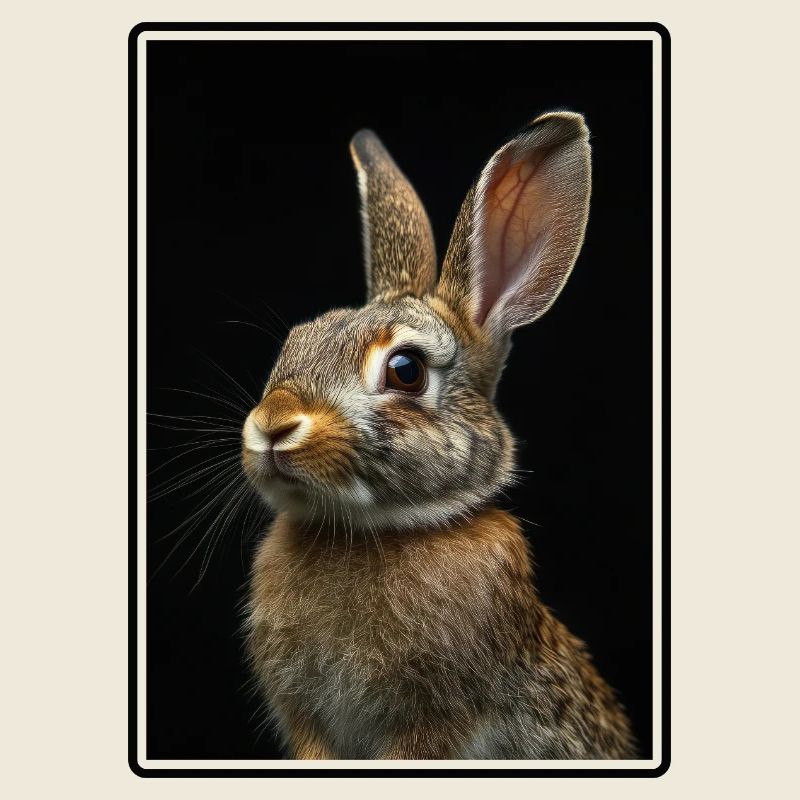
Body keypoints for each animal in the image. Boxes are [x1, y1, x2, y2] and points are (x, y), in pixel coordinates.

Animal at [242, 112, 637, 760]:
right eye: (295, 342)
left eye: (406, 370)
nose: (273, 426)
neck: (372, 529)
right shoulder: (309, 728)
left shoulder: (431, 726)